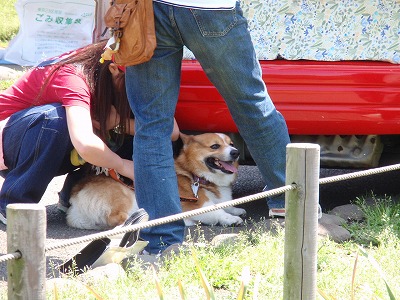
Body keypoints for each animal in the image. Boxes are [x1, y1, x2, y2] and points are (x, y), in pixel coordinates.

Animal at [65, 132, 244, 229]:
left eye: (231, 144)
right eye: (215, 146)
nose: (236, 152)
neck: (197, 175)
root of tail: (75, 200)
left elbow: (227, 205)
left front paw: (236, 210)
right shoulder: (198, 204)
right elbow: (217, 210)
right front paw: (231, 219)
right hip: (125, 196)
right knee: (119, 218)